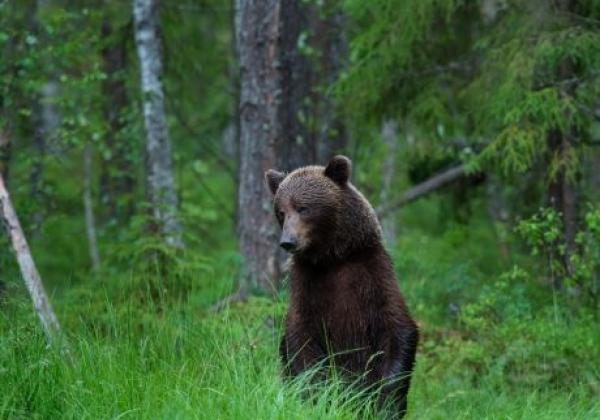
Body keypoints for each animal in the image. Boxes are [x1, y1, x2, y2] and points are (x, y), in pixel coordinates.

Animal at [264, 155, 420, 416]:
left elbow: (397, 329)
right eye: (281, 212)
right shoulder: (307, 285)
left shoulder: (373, 275)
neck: (333, 258)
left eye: (303, 207)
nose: (288, 241)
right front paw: (319, 395)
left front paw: (383, 401)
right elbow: (300, 339)